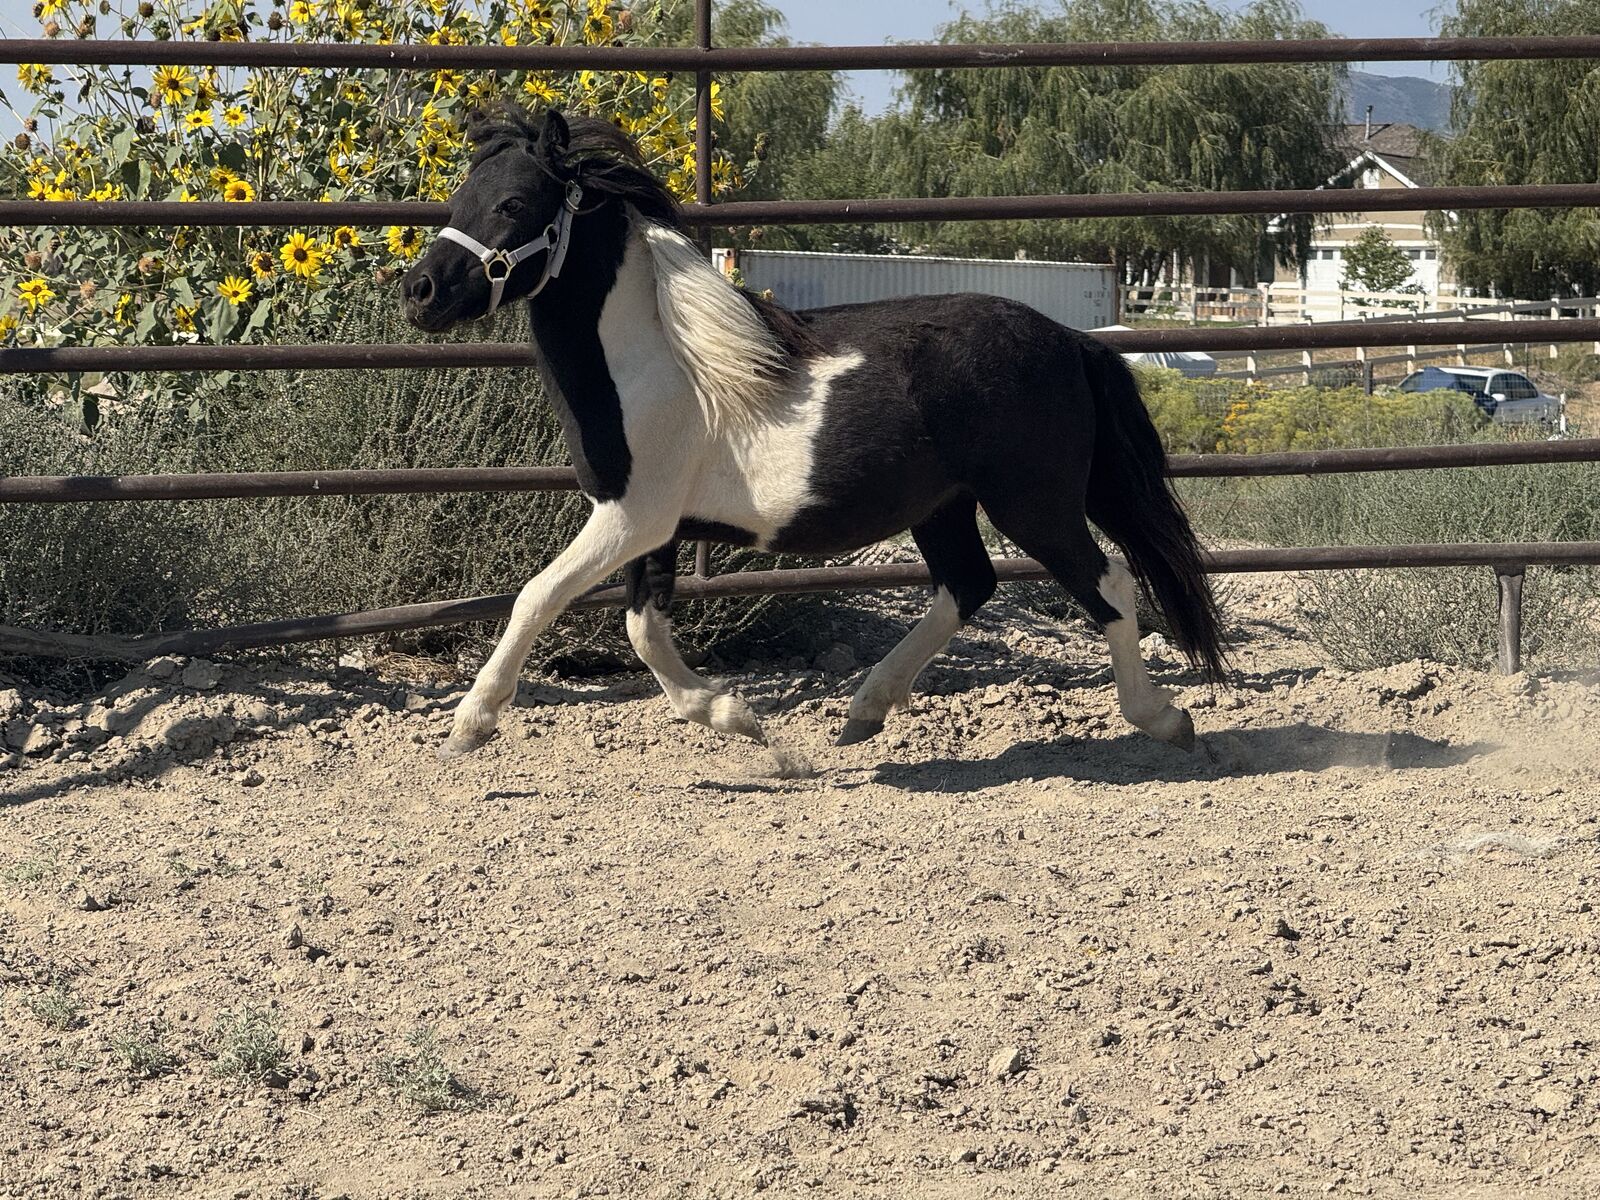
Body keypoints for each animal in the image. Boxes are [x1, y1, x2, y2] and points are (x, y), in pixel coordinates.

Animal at [401, 106, 1227, 762]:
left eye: (513, 202)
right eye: (461, 197)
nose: (420, 291)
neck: (656, 363)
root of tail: (1071, 341)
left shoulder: (632, 516)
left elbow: (537, 597)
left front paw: (470, 725)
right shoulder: (648, 526)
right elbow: (643, 631)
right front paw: (739, 719)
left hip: (1034, 502)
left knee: (1107, 585)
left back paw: (1165, 720)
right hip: (945, 507)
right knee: (968, 586)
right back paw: (863, 712)